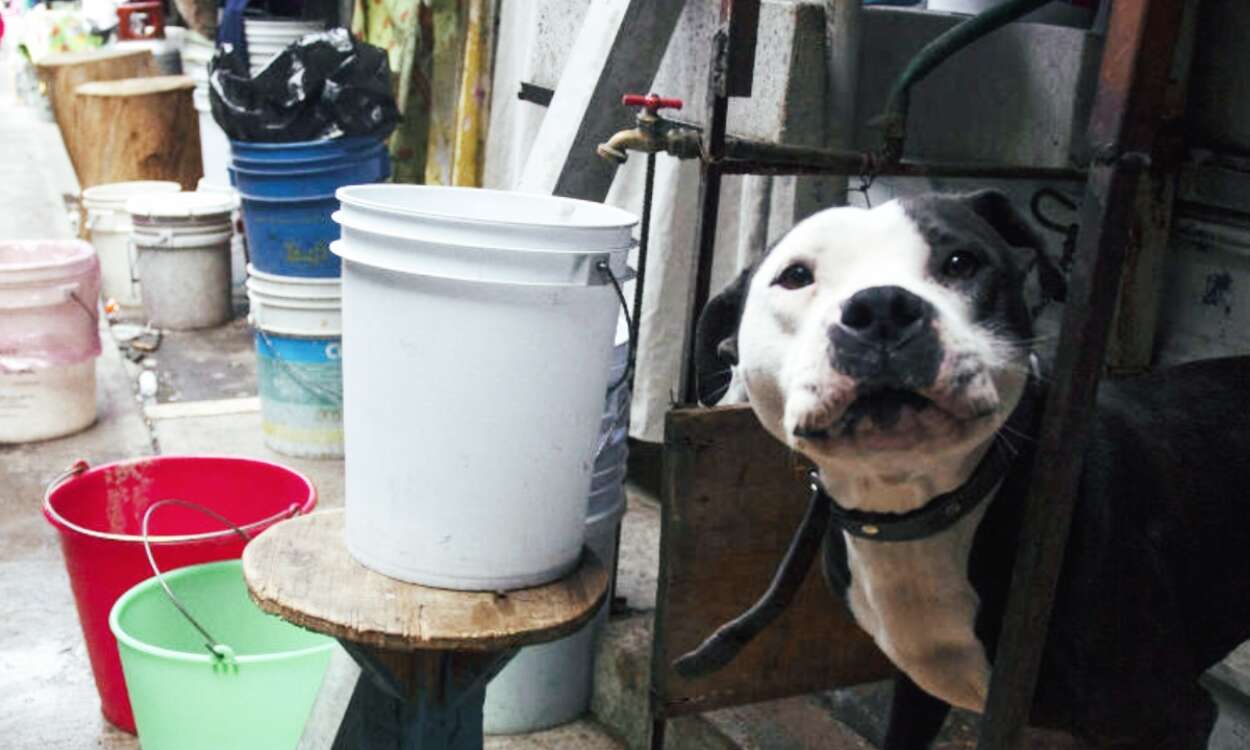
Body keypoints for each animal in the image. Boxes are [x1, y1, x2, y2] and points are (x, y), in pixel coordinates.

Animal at [685, 192, 1250, 750]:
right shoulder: (917, 690)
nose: (882, 308)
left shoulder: (1170, 716)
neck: (918, 513)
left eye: (961, 262)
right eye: (796, 275)